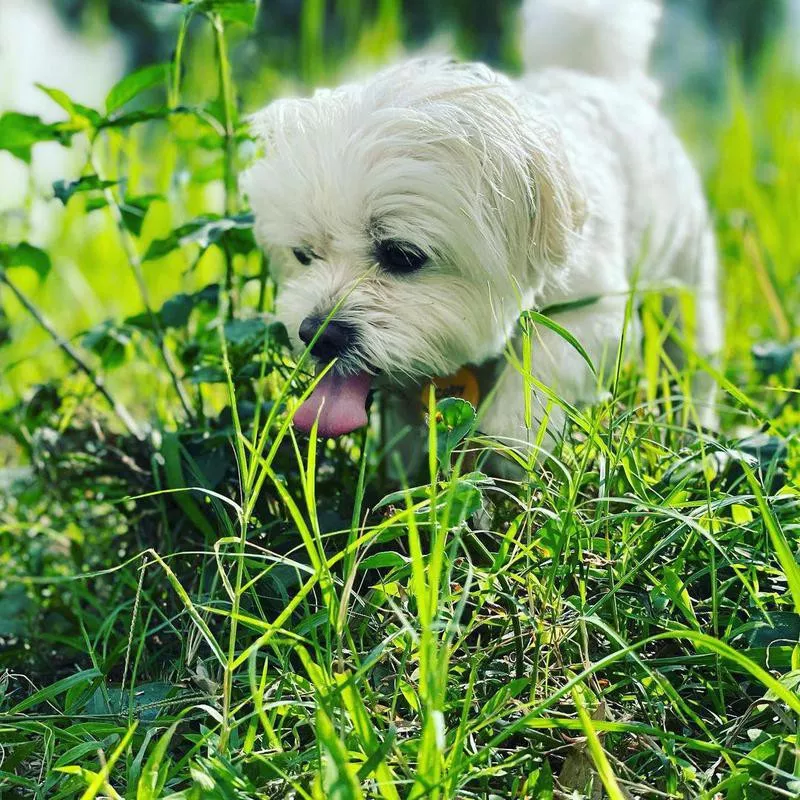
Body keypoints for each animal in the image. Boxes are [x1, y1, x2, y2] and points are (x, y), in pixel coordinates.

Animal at [241, 0, 720, 466]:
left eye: (402, 255)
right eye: (303, 255)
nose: (318, 334)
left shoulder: (592, 316)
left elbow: (539, 376)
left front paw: (509, 450)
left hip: (686, 283)